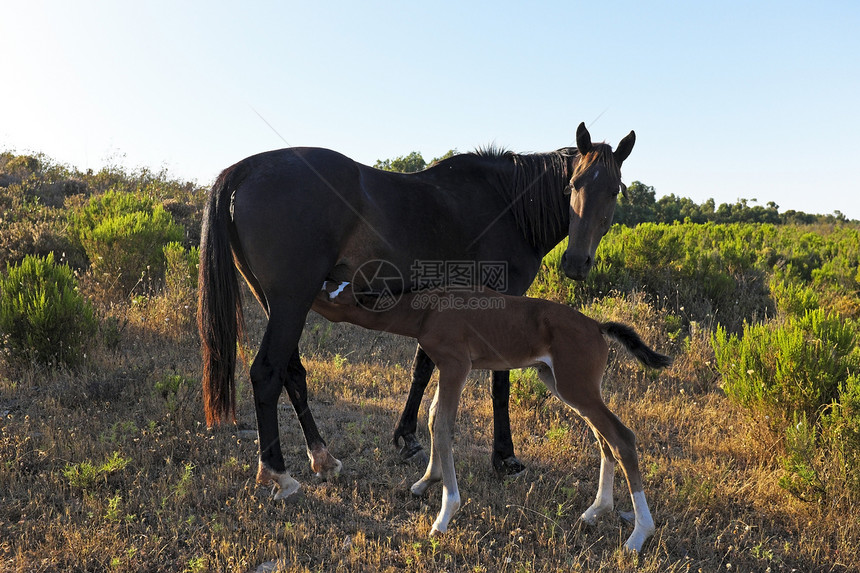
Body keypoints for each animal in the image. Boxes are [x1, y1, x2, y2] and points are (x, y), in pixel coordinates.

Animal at [198, 120, 636, 496]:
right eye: (573, 185)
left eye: (615, 190)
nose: (576, 263)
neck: (509, 206)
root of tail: (245, 168)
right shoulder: (500, 302)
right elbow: (499, 384)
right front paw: (504, 457)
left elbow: (423, 366)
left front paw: (407, 437)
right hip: (291, 302)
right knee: (267, 373)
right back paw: (278, 473)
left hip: (278, 302)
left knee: (292, 372)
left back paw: (323, 459)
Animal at [310, 284, 672, 552]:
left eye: (332, 293)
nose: (309, 290)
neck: (429, 310)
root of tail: (597, 326)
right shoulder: (447, 367)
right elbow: (433, 417)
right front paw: (427, 481)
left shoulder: (456, 364)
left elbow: (443, 424)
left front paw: (444, 516)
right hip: (562, 385)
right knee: (603, 439)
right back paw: (596, 511)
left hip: (576, 386)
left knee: (622, 437)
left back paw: (639, 535)